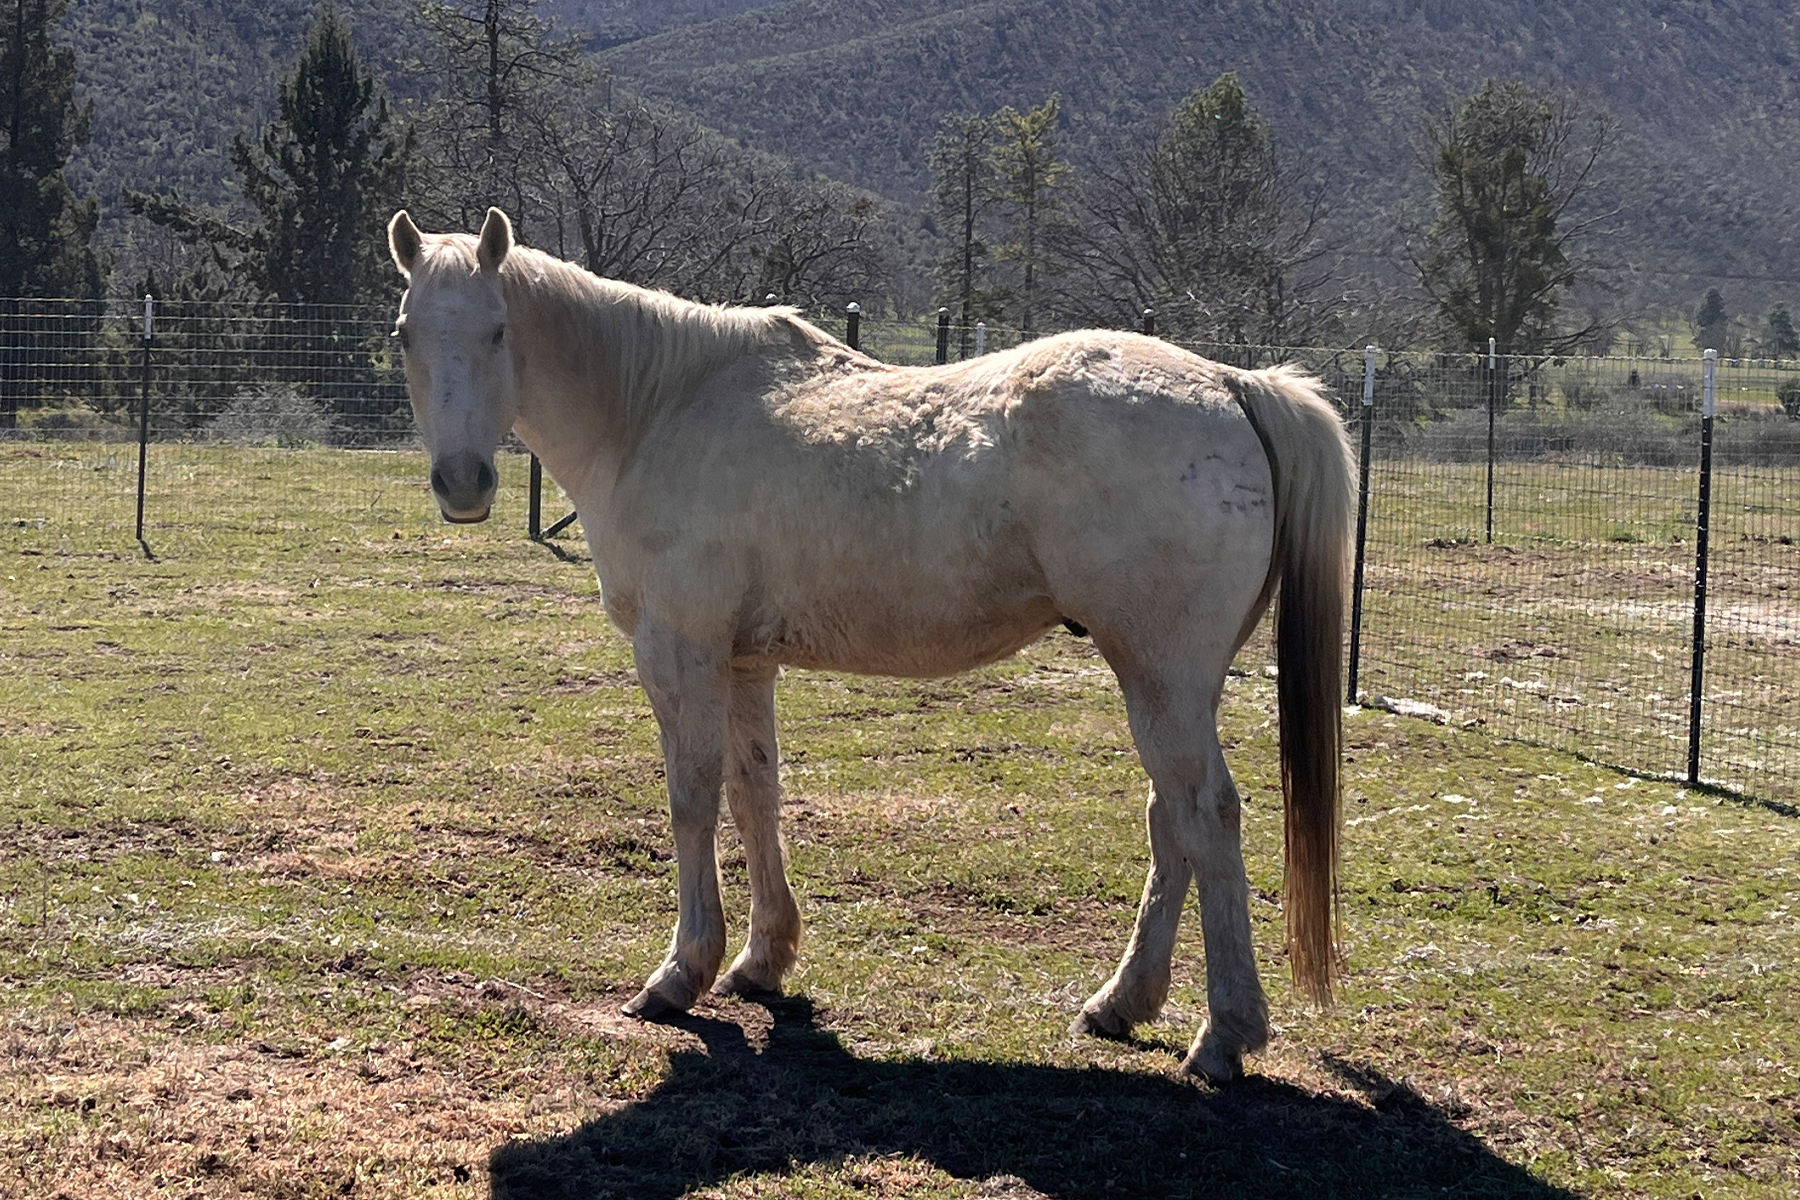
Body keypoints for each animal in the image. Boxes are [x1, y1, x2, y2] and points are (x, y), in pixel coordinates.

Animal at [385, 207, 1355, 1082]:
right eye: (404, 335)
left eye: (499, 328)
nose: (463, 484)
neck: (658, 409)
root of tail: (1230, 382)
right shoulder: (745, 660)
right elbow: (756, 796)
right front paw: (762, 960)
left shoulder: (680, 651)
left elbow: (692, 800)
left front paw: (681, 972)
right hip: (1166, 682)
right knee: (1170, 822)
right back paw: (1121, 1004)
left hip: (1162, 675)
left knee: (1207, 817)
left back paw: (1224, 1035)